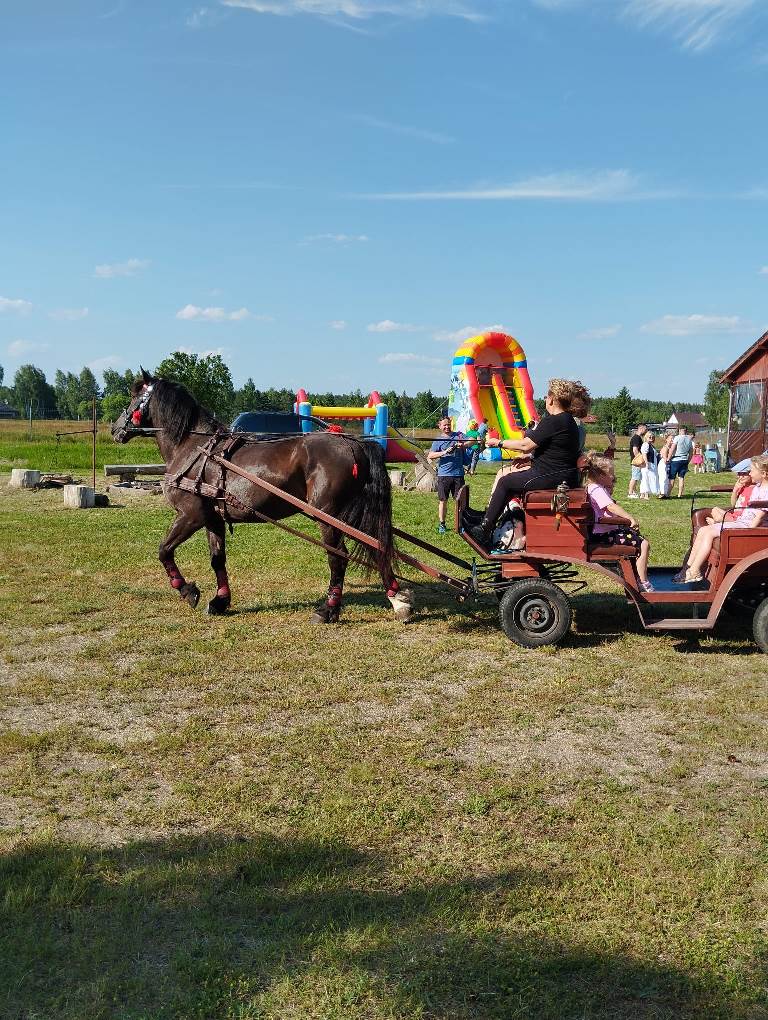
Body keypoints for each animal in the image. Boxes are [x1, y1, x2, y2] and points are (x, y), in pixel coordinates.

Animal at [110, 369, 410, 620]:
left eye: (134, 396)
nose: (115, 428)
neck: (194, 448)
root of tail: (353, 444)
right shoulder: (212, 519)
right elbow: (217, 559)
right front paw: (220, 600)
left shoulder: (190, 515)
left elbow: (164, 551)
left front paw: (187, 590)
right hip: (353, 514)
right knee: (378, 546)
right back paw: (397, 599)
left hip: (329, 517)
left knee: (338, 557)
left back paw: (329, 609)